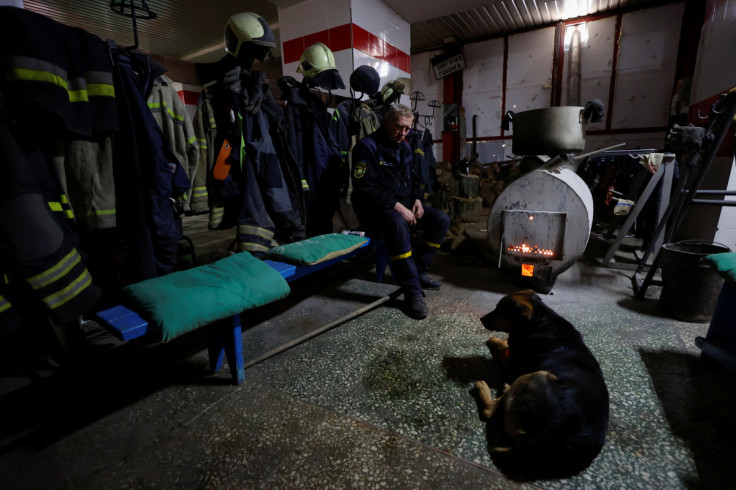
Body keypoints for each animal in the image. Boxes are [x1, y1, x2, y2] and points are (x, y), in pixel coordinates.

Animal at [478, 290, 608, 478]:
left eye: (500, 310)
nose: (481, 319)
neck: (539, 319)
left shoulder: (512, 364)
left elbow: (504, 346)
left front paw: (494, 340)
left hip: (537, 375)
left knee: (489, 410)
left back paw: (486, 388)